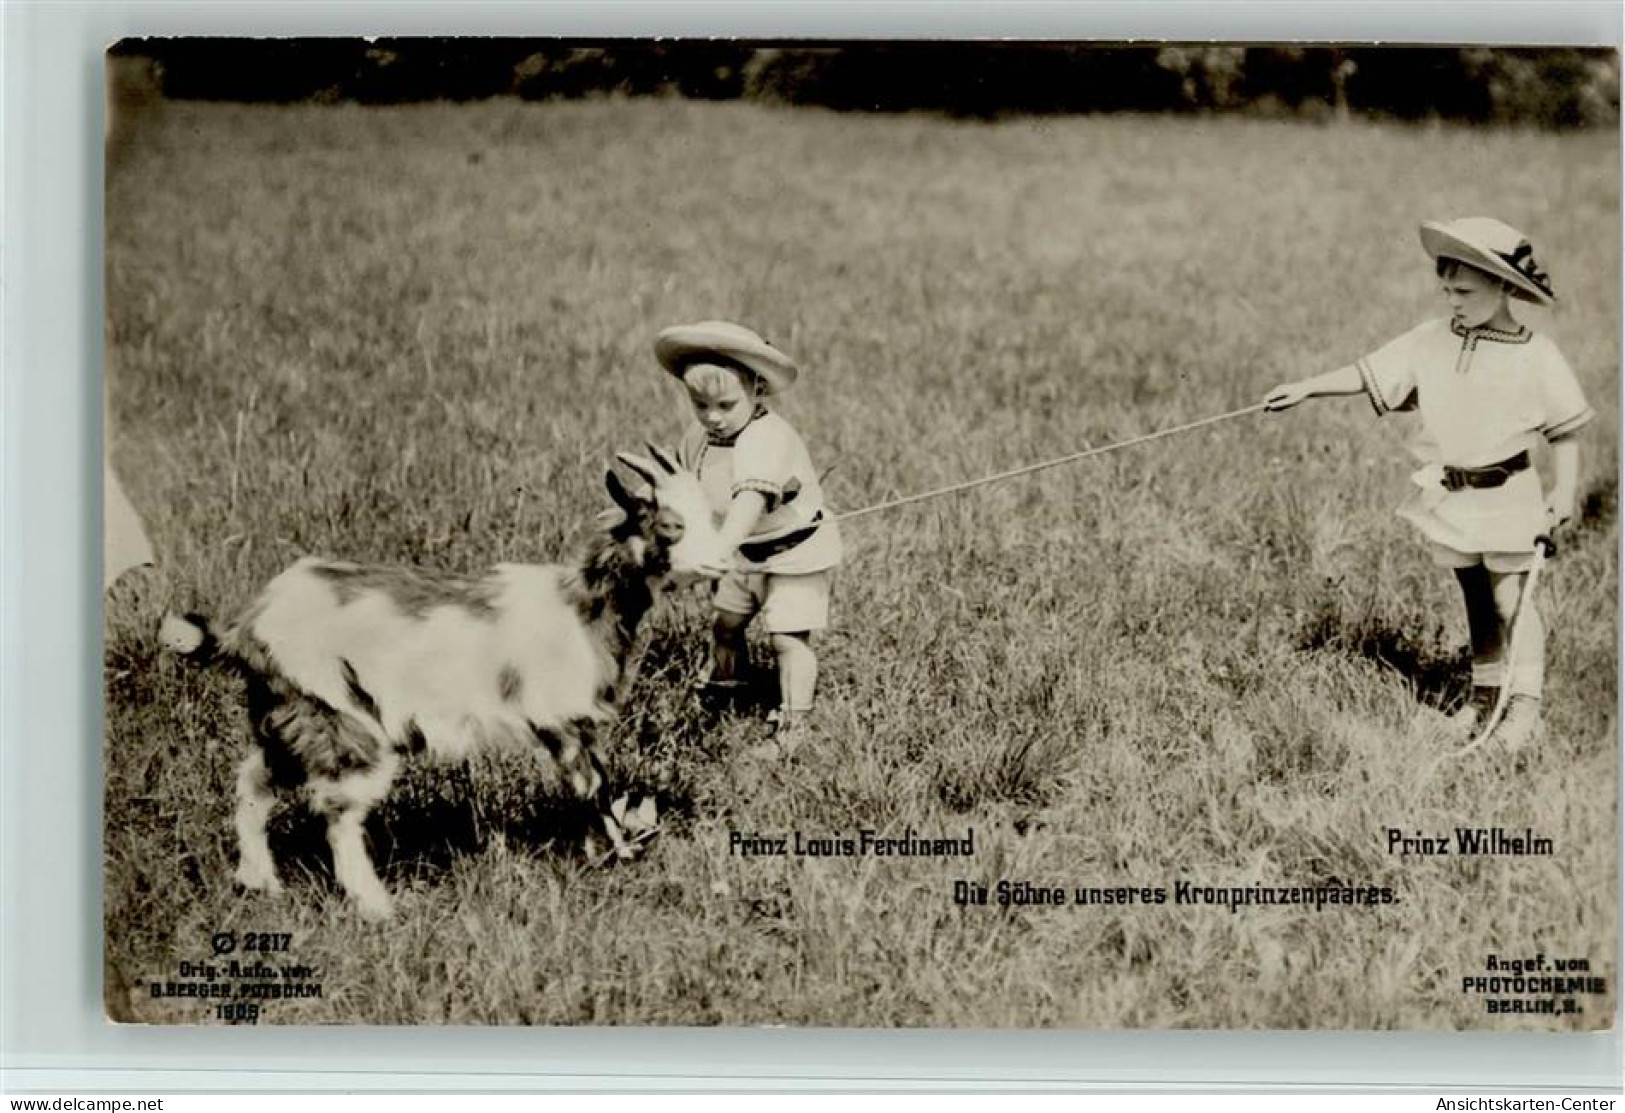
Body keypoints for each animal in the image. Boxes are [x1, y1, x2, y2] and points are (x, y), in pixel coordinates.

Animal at [160, 448, 731, 916]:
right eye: (671, 526)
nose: (725, 560)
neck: (582, 603)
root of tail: (247, 625)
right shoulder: (561, 718)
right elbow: (590, 786)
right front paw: (612, 857)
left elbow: (598, 783)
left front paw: (613, 852)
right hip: (341, 714)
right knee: (338, 813)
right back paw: (376, 907)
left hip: (290, 715)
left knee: (254, 784)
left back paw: (260, 882)